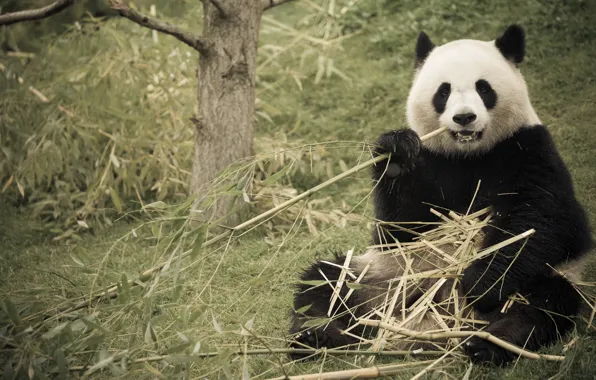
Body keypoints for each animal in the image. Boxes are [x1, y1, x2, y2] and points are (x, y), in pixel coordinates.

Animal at [288, 24, 592, 366]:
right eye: (443, 92)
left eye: (483, 88)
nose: (464, 117)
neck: (469, 154)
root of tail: (431, 326)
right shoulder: (432, 160)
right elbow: (398, 229)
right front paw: (396, 152)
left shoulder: (527, 148)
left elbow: (543, 220)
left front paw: (480, 282)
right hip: (383, 277)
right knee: (324, 283)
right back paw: (315, 336)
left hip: (542, 280)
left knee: (542, 306)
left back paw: (487, 344)